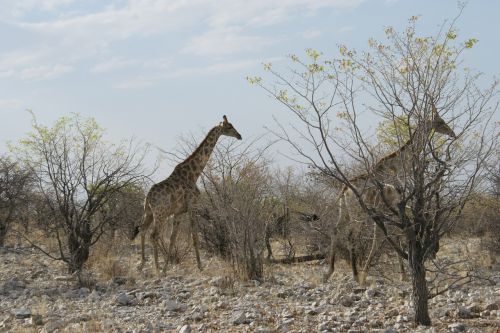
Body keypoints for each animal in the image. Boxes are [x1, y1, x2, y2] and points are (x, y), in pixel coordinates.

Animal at [131, 115, 242, 272]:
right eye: (229, 127)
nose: (239, 136)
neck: (194, 174)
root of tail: (148, 198)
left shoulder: (178, 212)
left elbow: (173, 238)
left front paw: (166, 269)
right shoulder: (192, 205)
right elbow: (195, 236)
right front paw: (200, 267)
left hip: (149, 213)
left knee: (143, 230)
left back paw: (142, 264)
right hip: (161, 213)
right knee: (154, 235)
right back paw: (156, 268)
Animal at [324, 103, 458, 282]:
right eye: (440, 121)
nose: (453, 133)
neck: (396, 164)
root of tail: (344, 191)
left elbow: (394, 234)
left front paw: (403, 274)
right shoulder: (394, 201)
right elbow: (394, 233)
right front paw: (403, 274)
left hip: (344, 211)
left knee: (335, 230)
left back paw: (329, 272)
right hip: (357, 212)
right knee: (351, 236)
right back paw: (355, 275)